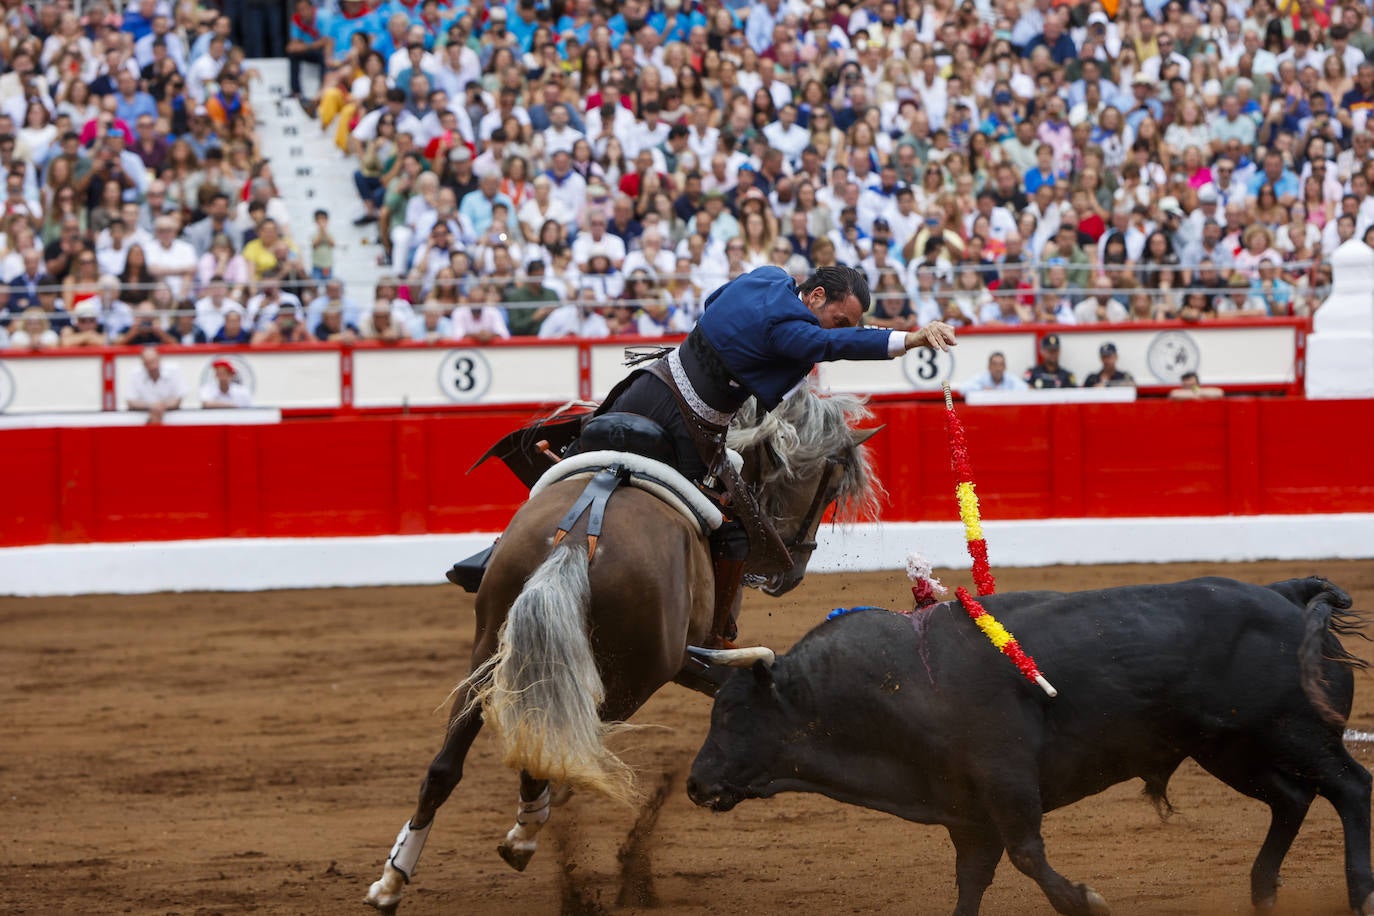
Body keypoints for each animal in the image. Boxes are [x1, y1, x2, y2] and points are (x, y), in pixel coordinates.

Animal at [687, 579, 1374, 916]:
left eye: (732, 712)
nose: (695, 783)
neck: (898, 681)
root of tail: (1287, 596)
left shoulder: (1006, 782)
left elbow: (1027, 856)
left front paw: (1086, 901)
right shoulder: (967, 814)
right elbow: (972, 881)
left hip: (1293, 731)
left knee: (1350, 788)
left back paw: (1359, 892)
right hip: (1230, 748)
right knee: (1292, 800)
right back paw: (1263, 893)